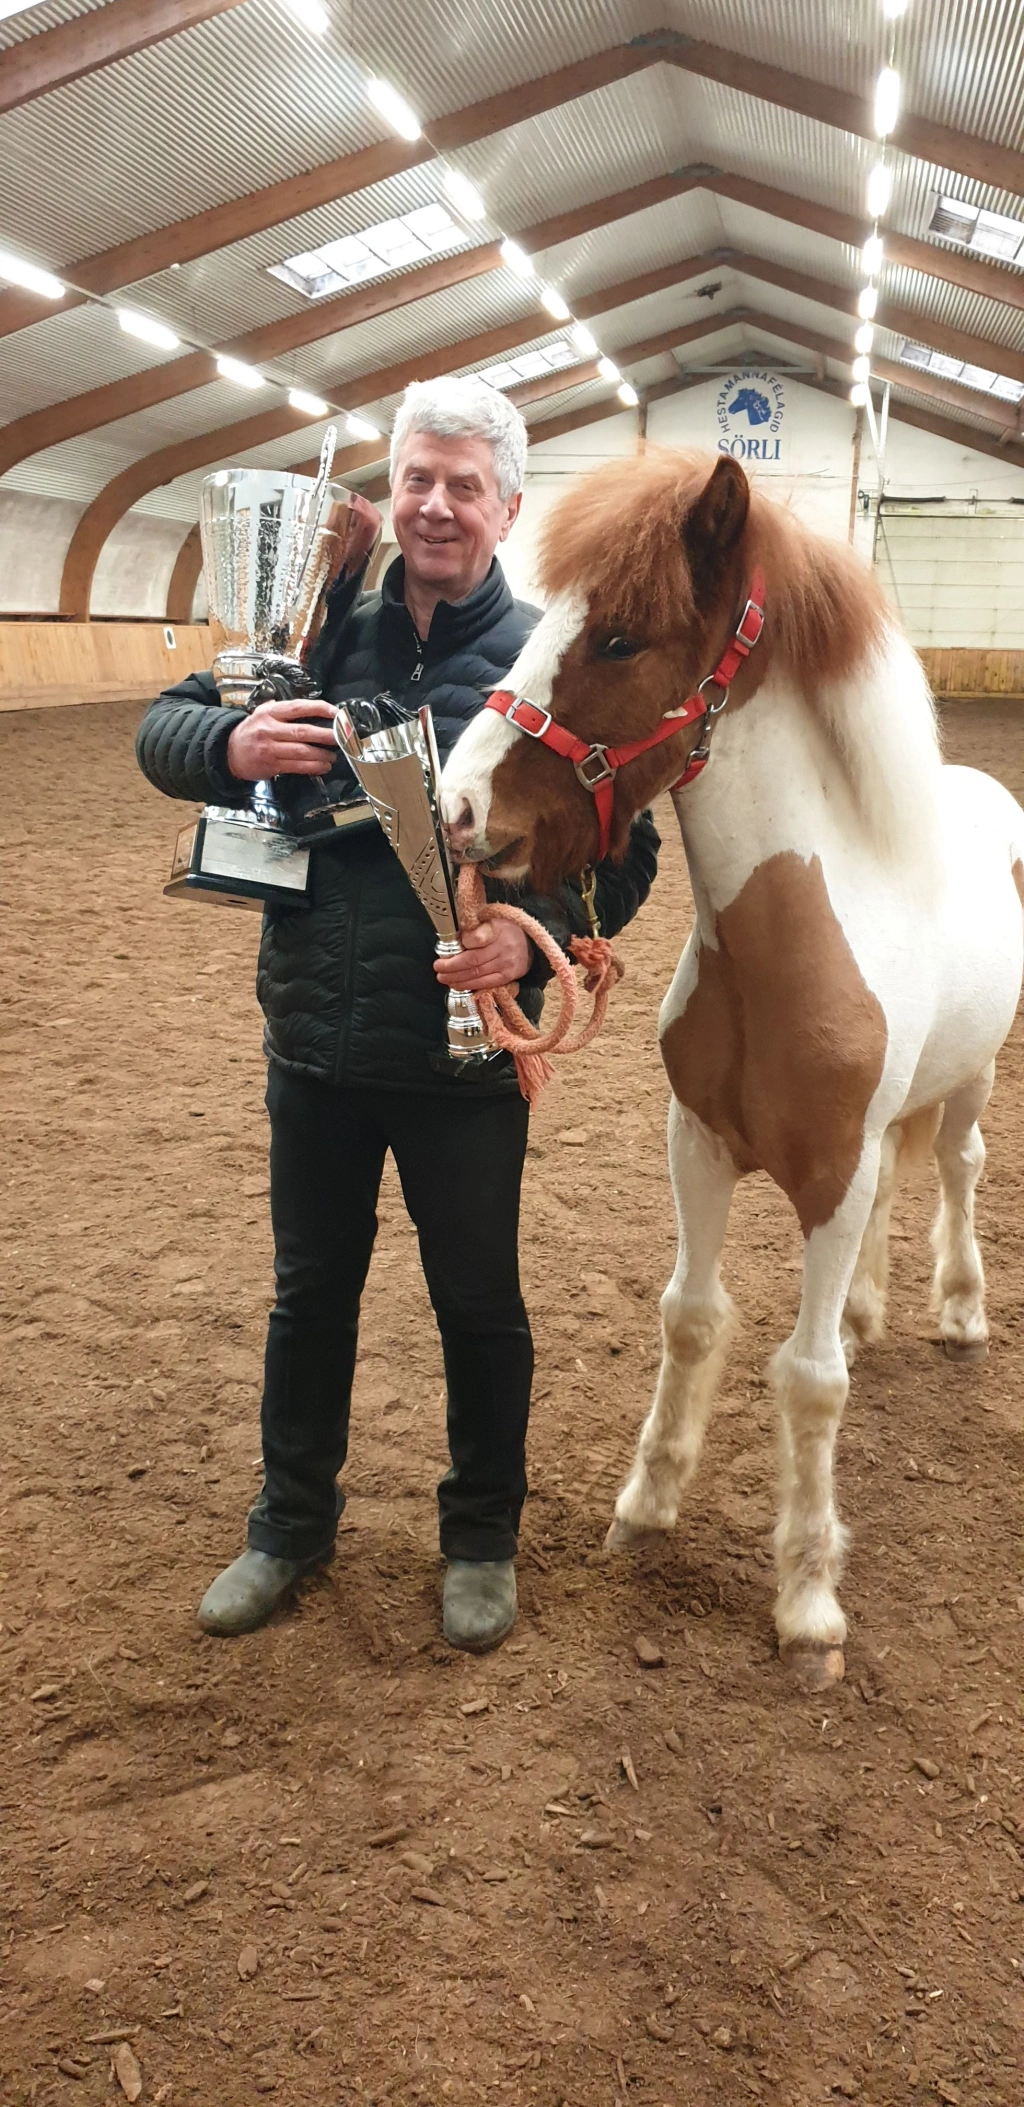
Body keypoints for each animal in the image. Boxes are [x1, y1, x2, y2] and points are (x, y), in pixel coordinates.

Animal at [440, 449, 1024, 1689]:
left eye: (620, 638)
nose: (458, 812)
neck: (782, 953)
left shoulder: (831, 1178)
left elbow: (806, 1379)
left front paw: (806, 1602)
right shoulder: (698, 1147)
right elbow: (691, 1317)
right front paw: (645, 1505)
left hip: (971, 1080)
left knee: (956, 1169)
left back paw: (957, 1311)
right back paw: (869, 1308)